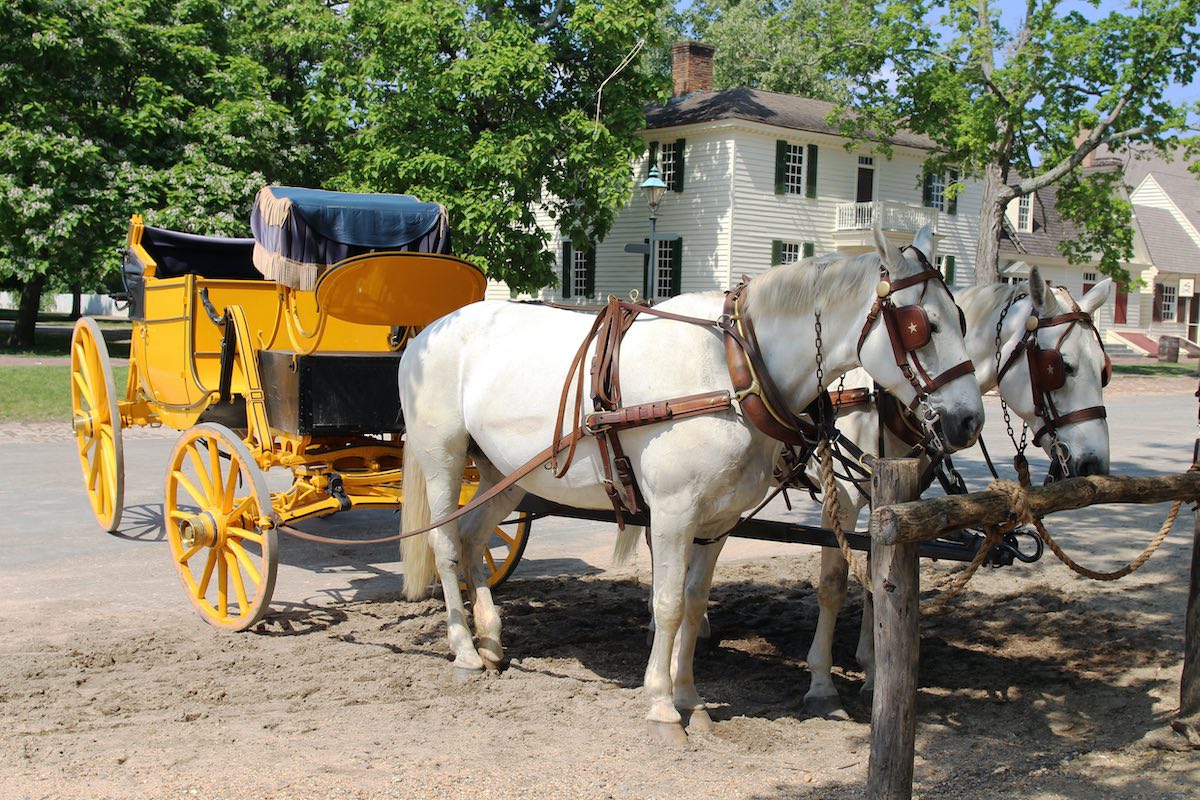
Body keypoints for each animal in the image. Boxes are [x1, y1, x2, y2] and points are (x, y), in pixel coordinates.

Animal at [398, 221, 979, 743]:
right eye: (920, 325)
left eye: (961, 318)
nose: (968, 421)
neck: (732, 369)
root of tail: (427, 334)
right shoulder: (674, 512)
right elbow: (669, 603)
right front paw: (660, 706)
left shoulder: (717, 519)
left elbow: (696, 604)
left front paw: (690, 699)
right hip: (444, 459)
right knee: (445, 544)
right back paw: (465, 651)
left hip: (506, 474)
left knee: (474, 537)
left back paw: (492, 640)